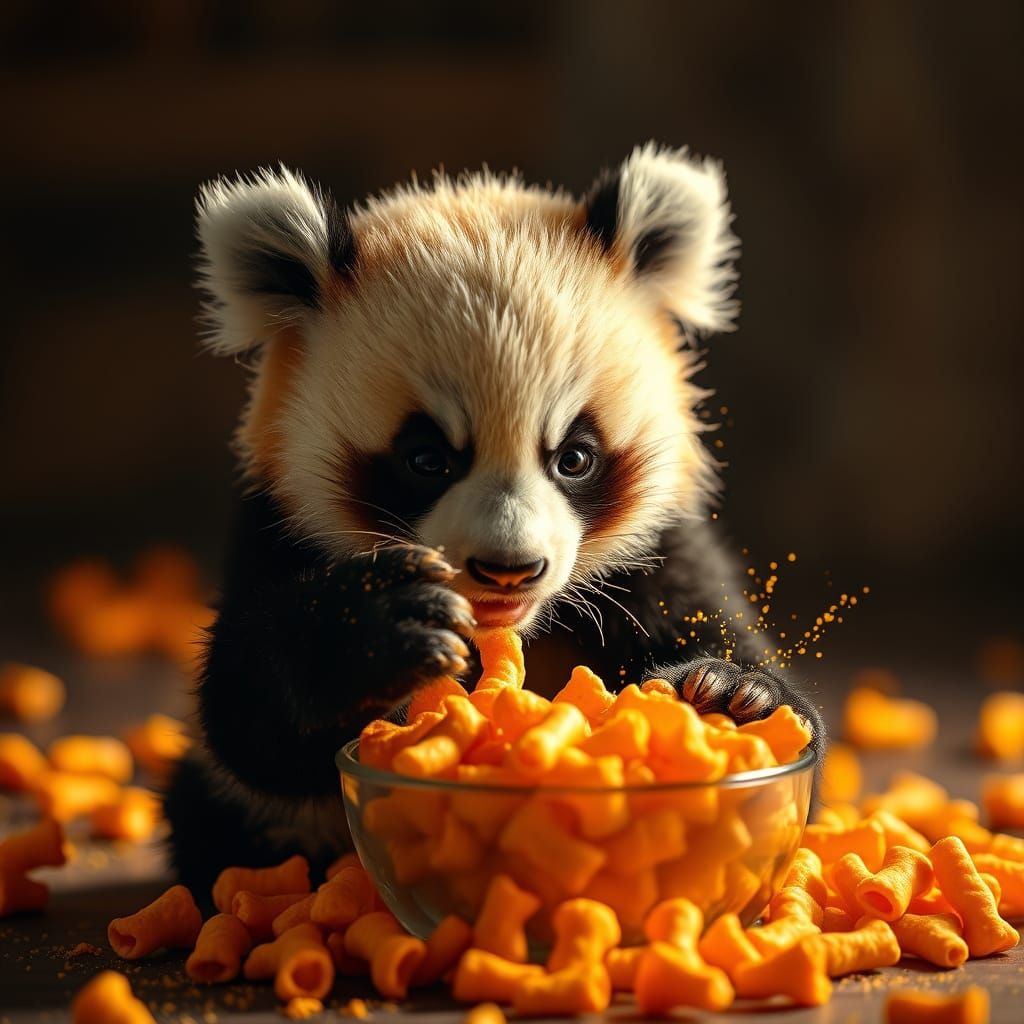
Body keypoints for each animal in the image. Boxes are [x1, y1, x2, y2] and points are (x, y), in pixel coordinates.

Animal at [164, 143, 825, 892]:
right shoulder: (278, 527)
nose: (509, 571)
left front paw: (728, 696)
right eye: (427, 459)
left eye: (575, 457)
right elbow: (247, 716)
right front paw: (383, 623)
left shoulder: (660, 546)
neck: (510, 633)